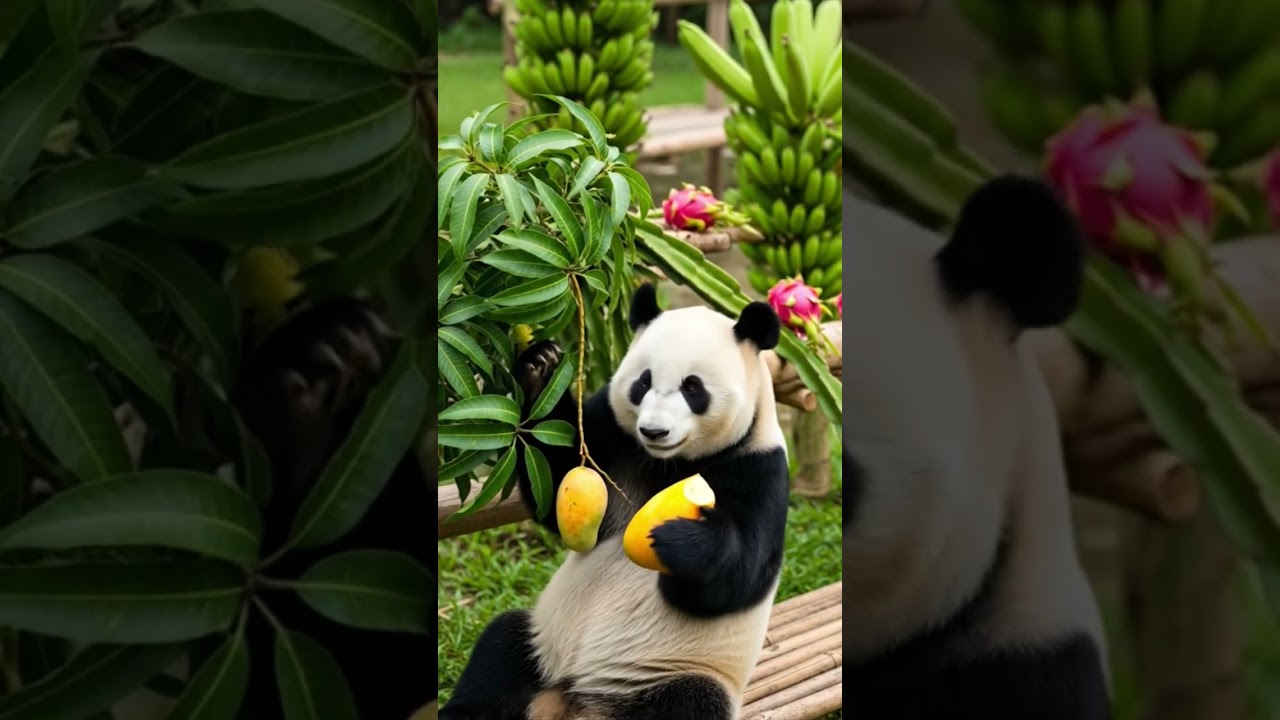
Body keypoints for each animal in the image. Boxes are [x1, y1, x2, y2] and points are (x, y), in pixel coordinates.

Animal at [441, 286, 791, 720]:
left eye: (693, 388)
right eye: (643, 382)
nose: (654, 430)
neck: (670, 463)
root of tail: (574, 704)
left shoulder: (760, 469)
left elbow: (737, 579)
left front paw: (677, 540)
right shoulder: (615, 438)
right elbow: (557, 499)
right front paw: (540, 366)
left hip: (674, 673)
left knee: (690, 700)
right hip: (542, 641)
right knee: (501, 651)